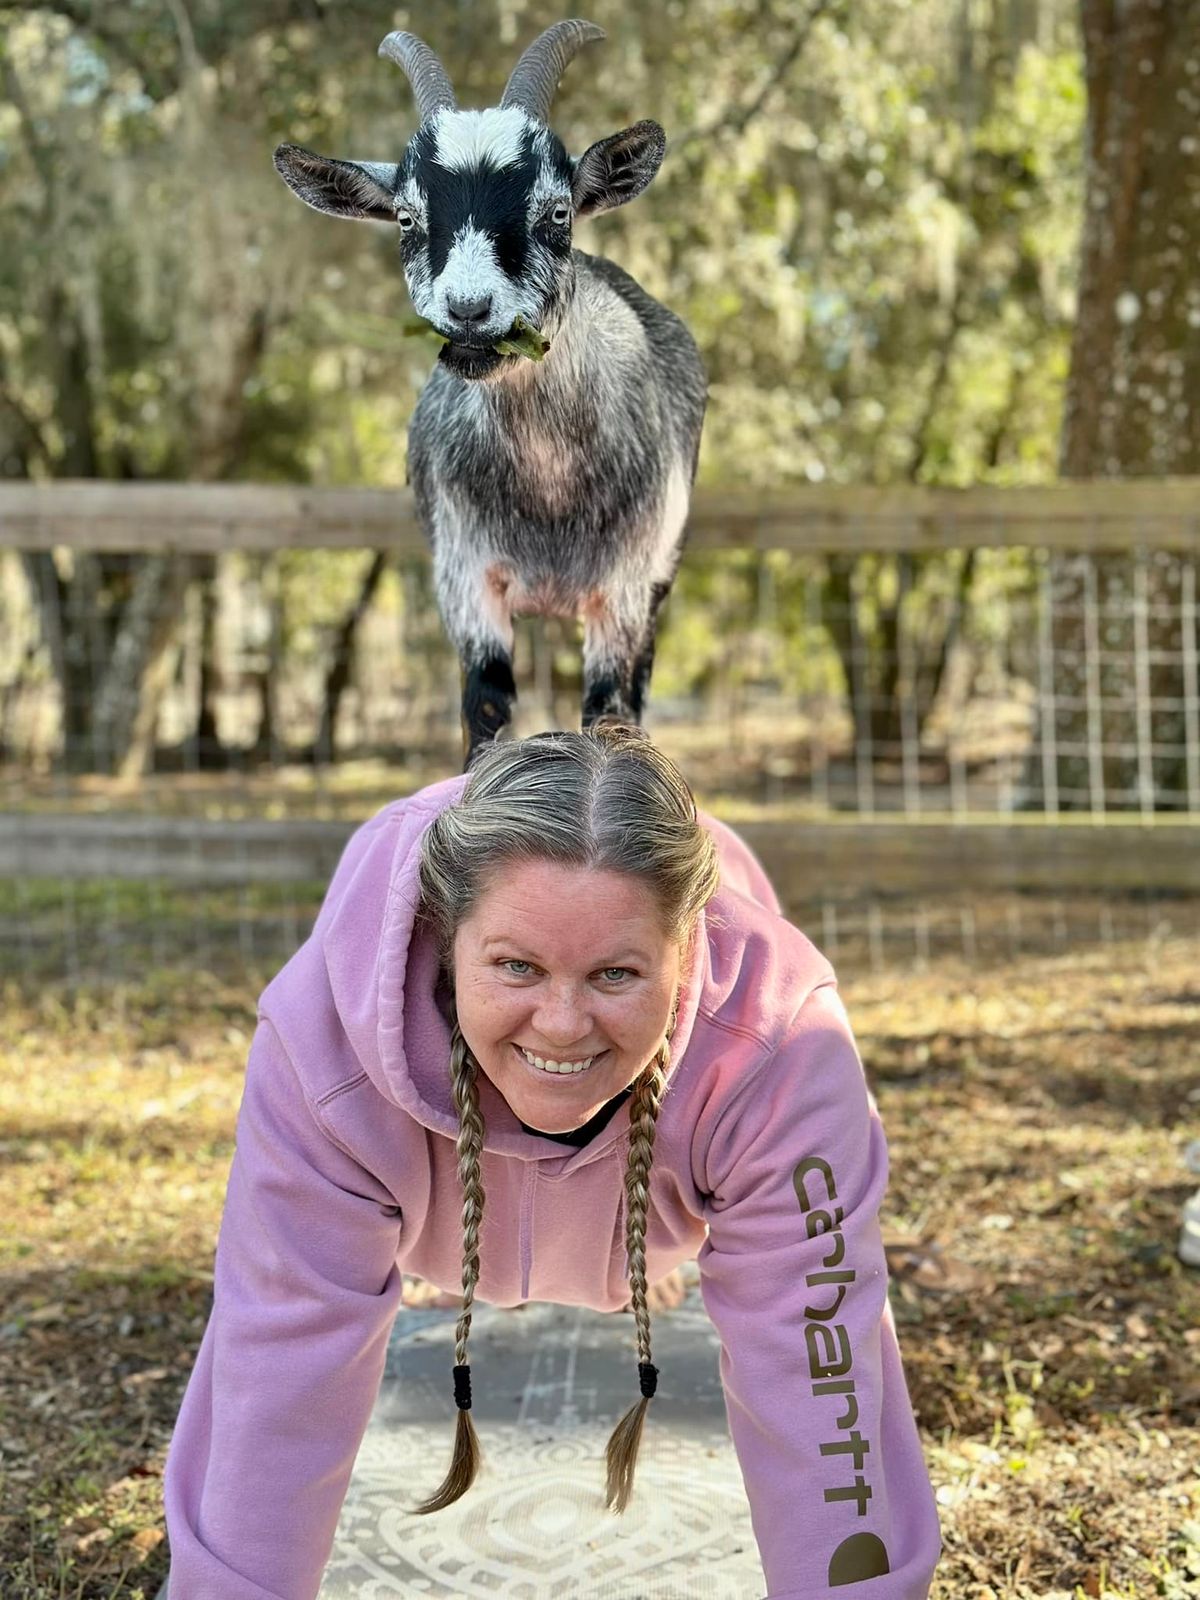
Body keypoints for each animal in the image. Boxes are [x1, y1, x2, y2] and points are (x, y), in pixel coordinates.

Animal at [272, 17, 704, 755]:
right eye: (407, 218)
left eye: (557, 212)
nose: (470, 310)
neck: (550, 496)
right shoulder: (466, 576)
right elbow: (489, 705)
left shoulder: (622, 590)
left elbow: (609, 711)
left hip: (659, 574)